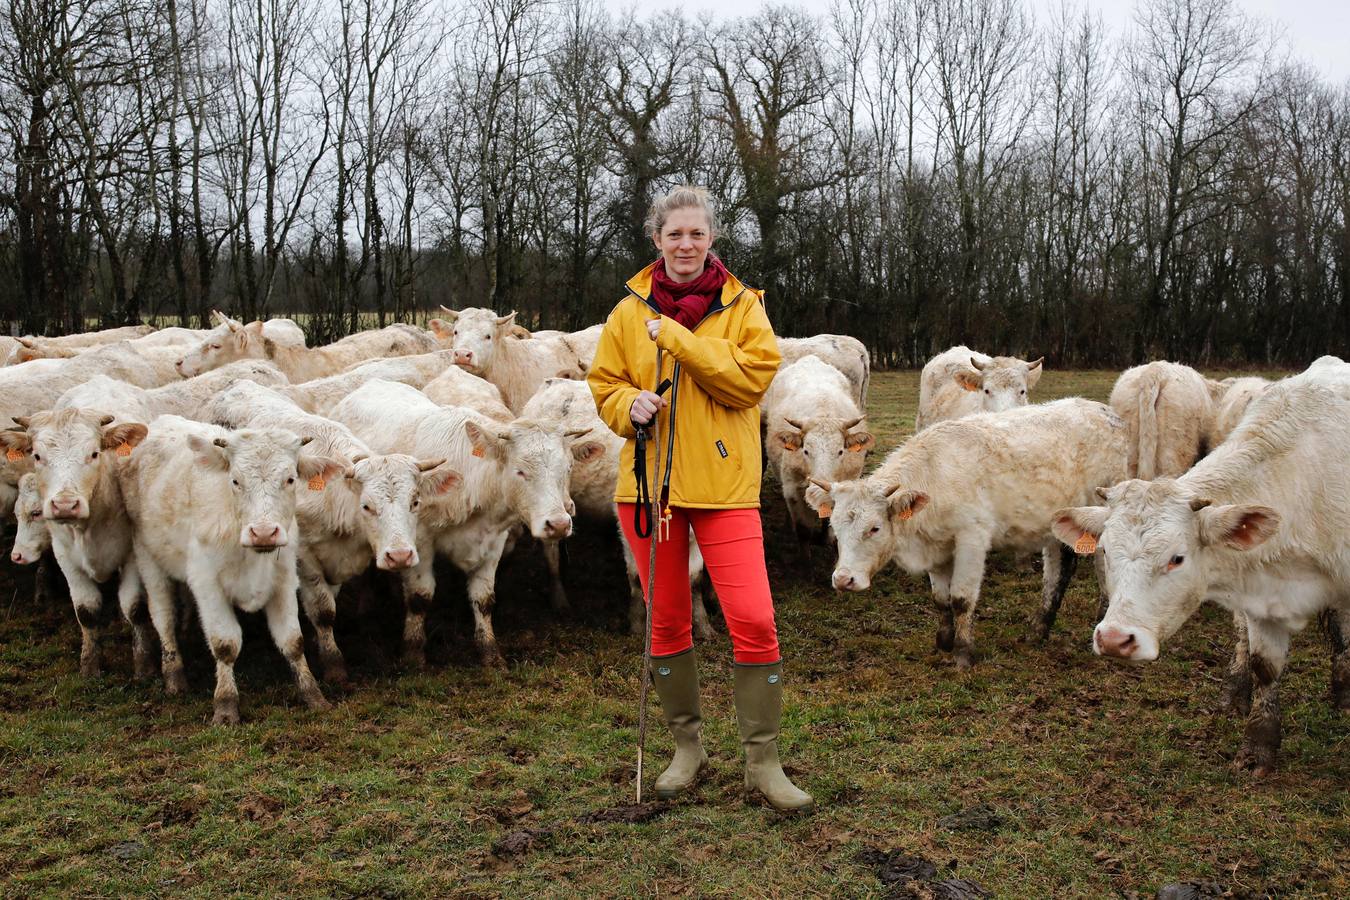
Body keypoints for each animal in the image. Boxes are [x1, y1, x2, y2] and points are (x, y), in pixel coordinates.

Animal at [810, 402, 1128, 669]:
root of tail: (1104, 410)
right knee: (1058, 571)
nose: (843, 579)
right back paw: (1038, 630)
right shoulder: (937, 546)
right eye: (835, 527)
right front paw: (943, 642)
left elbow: (961, 599)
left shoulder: (971, 539)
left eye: (874, 528)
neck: (936, 475)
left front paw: (963, 653)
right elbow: (941, 599)